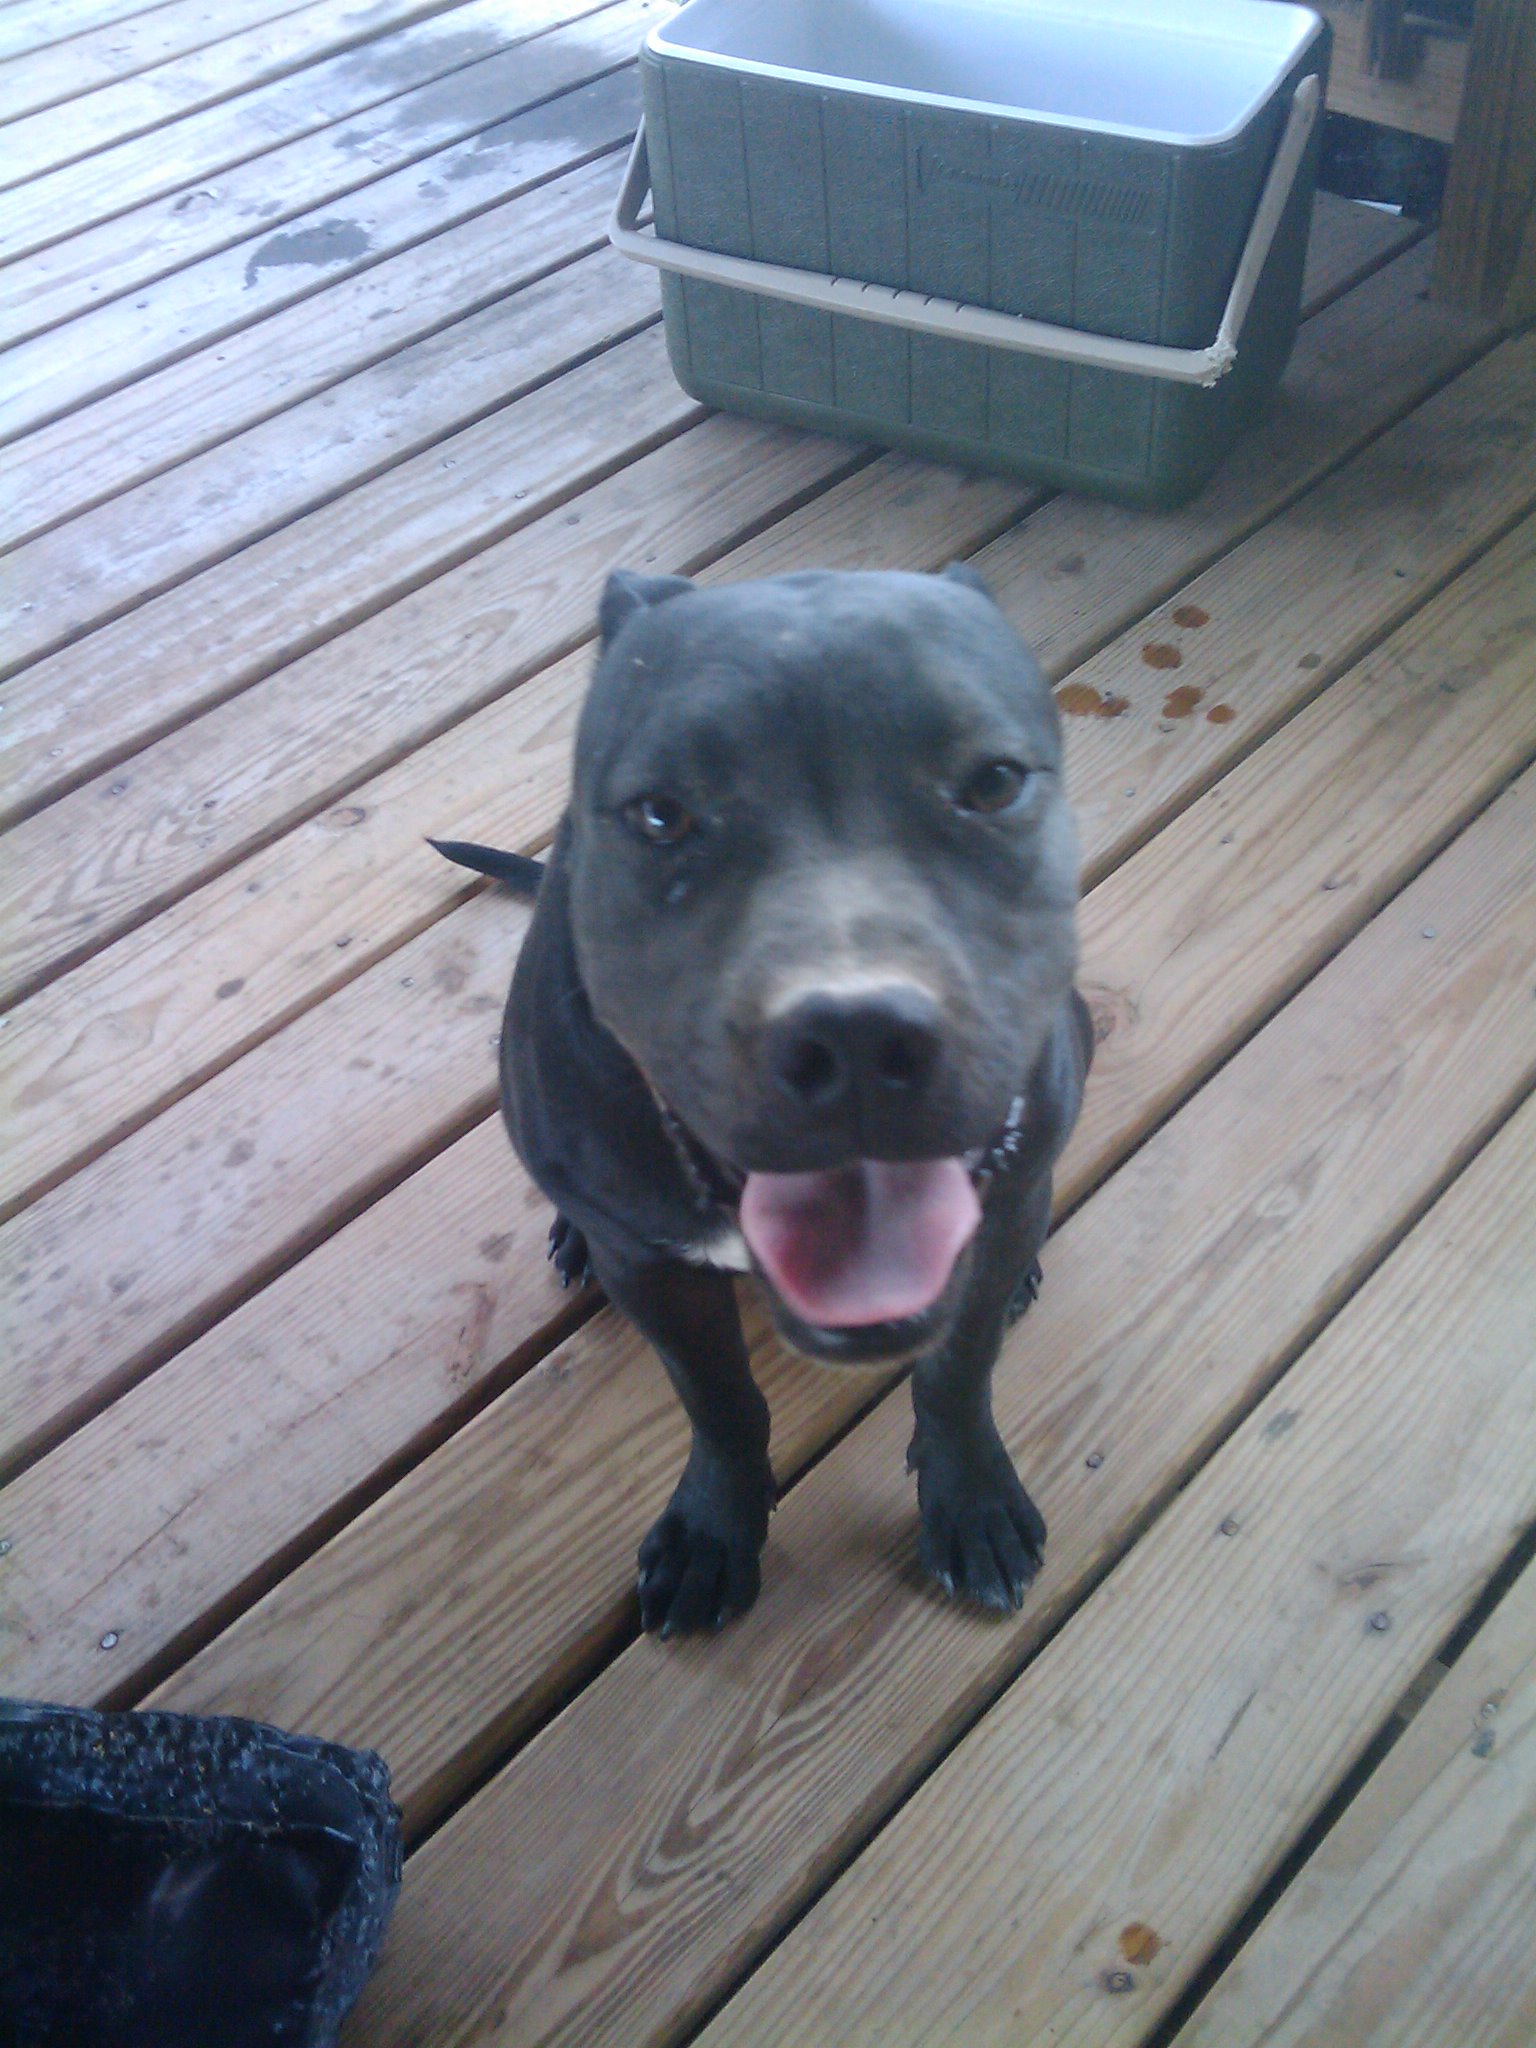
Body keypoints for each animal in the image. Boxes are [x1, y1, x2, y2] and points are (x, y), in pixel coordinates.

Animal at [433, 564, 1092, 1637]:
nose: (858, 1036)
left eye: (992, 783)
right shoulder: (661, 1281)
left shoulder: (1003, 1203)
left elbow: (958, 1371)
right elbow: (721, 1403)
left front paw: (971, 1497)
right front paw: (715, 1527)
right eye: (661, 814)